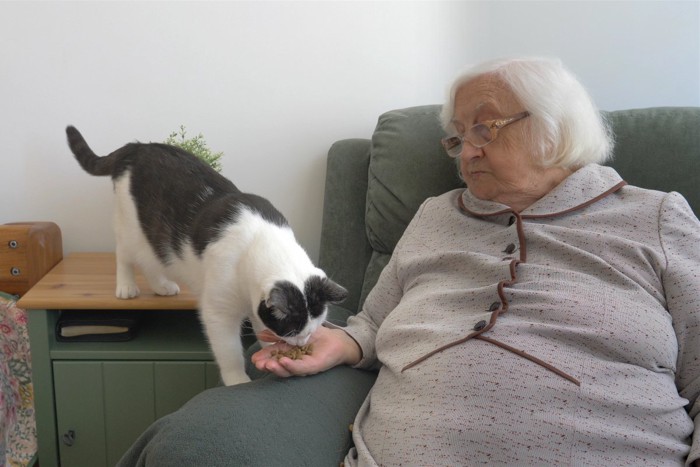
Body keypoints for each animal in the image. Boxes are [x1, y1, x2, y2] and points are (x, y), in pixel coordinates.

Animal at [67, 126, 346, 386]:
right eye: (294, 331)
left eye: (314, 328)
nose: (302, 342)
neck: (258, 240)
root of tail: (136, 146)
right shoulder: (218, 311)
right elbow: (229, 351)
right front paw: (237, 380)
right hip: (132, 227)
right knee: (125, 253)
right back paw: (126, 286)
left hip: (156, 239)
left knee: (151, 260)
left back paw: (161, 286)